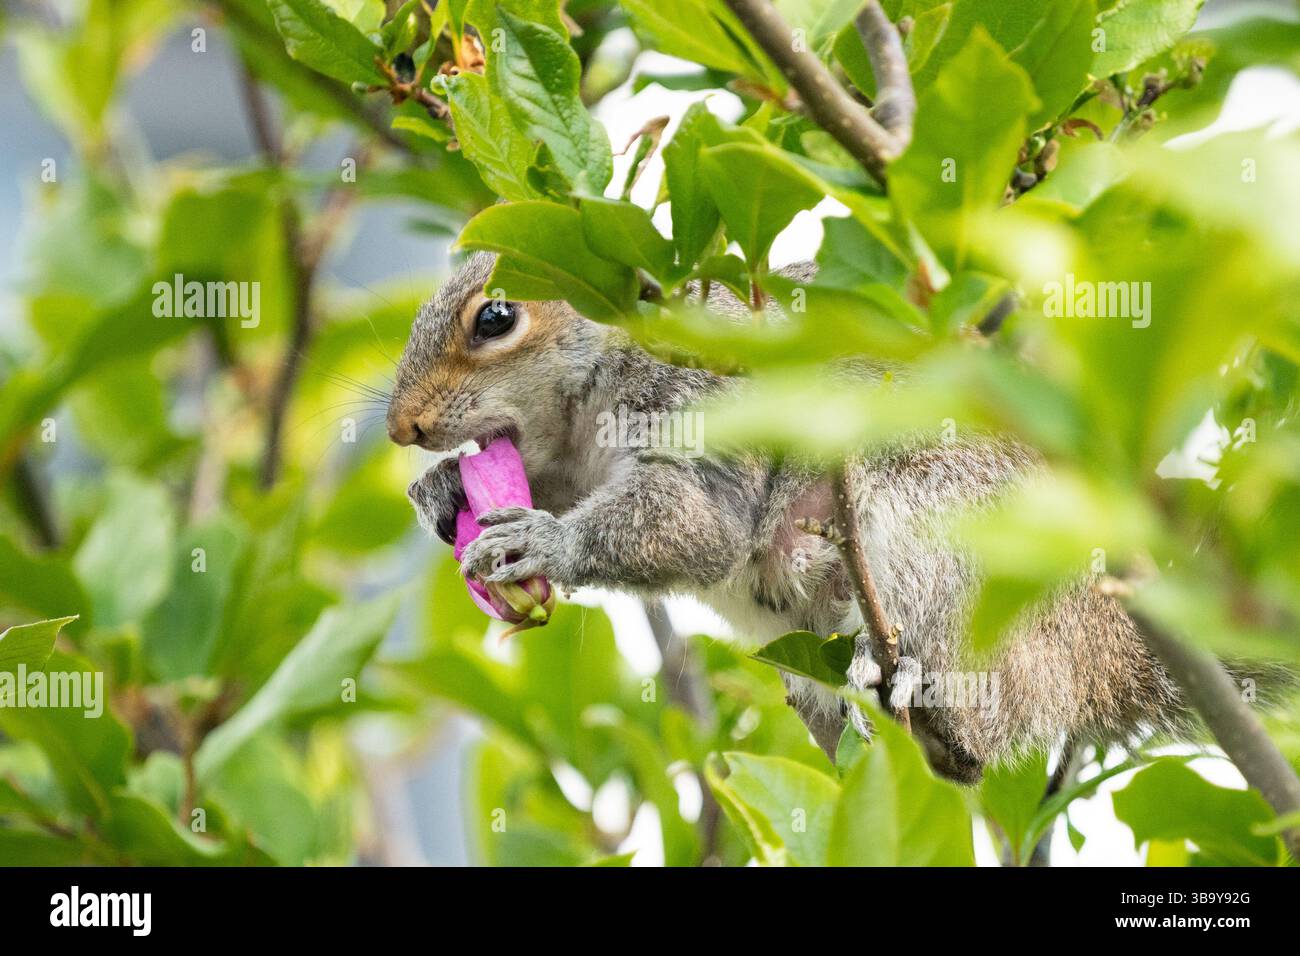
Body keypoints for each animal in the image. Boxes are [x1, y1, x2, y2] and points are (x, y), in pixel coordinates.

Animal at [387, 251, 1239, 783]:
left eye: (495, 318)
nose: (401, 428)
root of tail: (1100, 656)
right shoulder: (569, 463)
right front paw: (443, 490)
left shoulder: (704, 407)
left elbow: (700, 524)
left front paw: (544, 540)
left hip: (944, 537)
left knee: (972, 722)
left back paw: (899, 673)